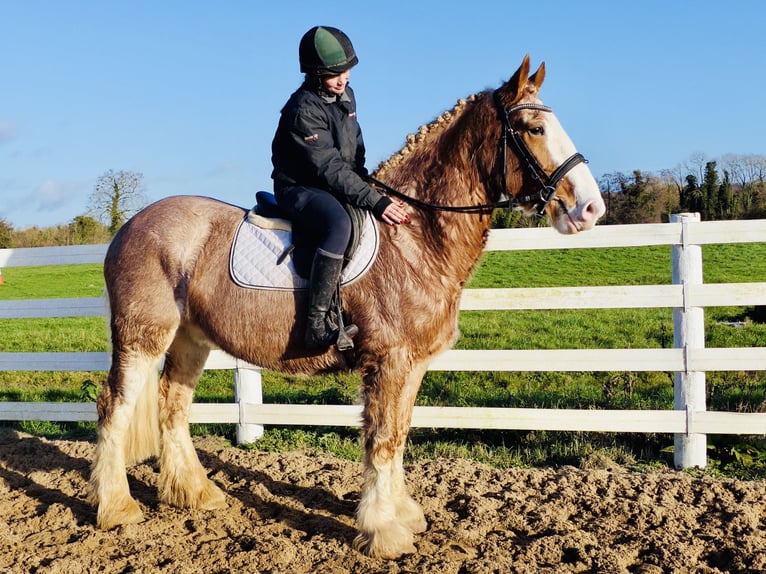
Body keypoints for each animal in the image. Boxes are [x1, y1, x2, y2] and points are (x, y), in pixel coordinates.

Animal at [88, 55, 606, 559]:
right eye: (534, 129)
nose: (591, 209)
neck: (415, 237)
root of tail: (131, 226)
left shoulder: (412, 365)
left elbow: (398, 434)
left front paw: (403, 514)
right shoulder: (390, 362)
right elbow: (381, 440)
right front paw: (384, 532)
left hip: (190, 339)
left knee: (171, 406)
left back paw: (198, 495)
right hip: (142, 336)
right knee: (116, 405)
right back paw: (117, 509)